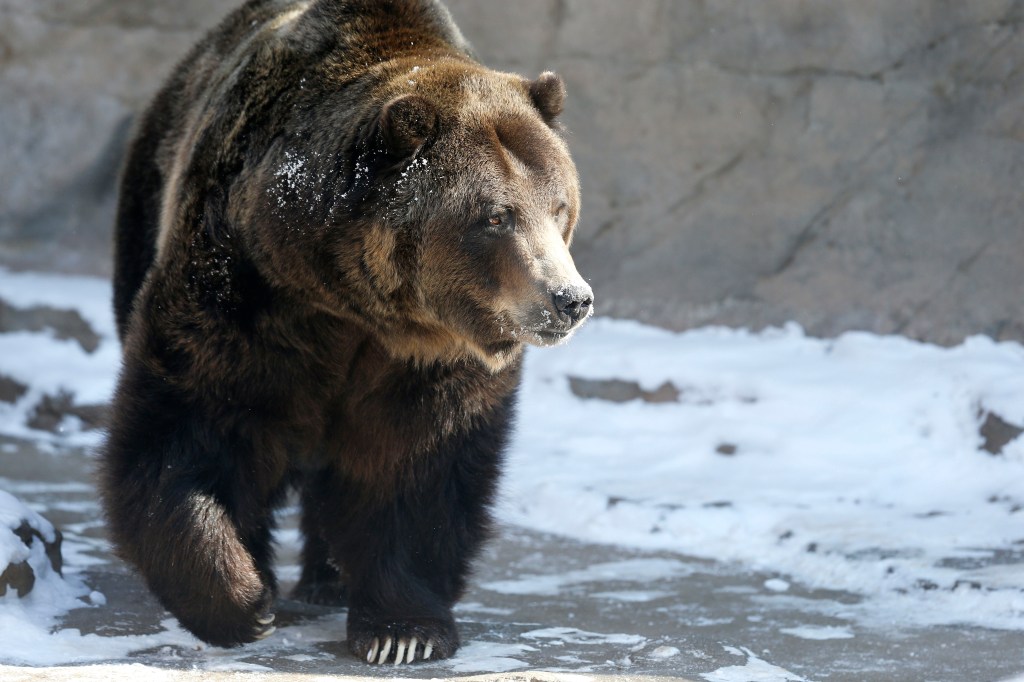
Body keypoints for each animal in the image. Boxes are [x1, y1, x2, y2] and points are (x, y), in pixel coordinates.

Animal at [99, 0, 593, 666]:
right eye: (496, 216)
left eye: (560, 206)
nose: (570, 299)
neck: (349, 302)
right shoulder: (242, 288)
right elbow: (190, 423)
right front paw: (241, 600)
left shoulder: (427, 355)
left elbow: (416, 463)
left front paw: (401, 631)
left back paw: (328, 581)